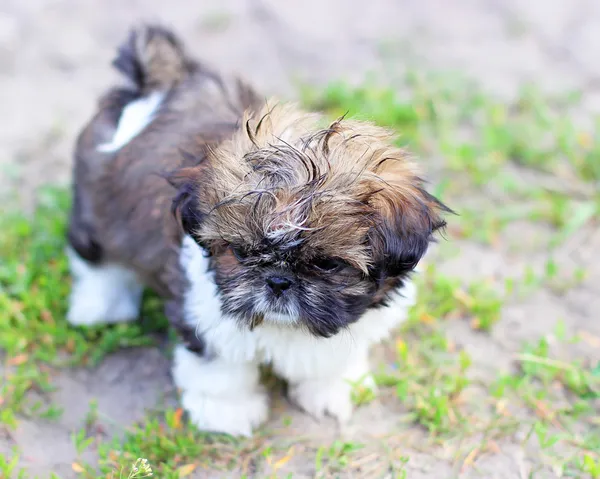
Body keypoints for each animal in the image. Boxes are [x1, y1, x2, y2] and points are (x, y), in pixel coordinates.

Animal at [67, 26, 450, 438]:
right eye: (241, 253)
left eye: (327, 264)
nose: (278, 281)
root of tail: (163, 81)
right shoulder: (207, 316)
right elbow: (221, 373)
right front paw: (227, 413)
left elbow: (330, 360)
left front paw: (332, 390)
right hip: (94, 212)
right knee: (95, 260)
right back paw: (99, 305)